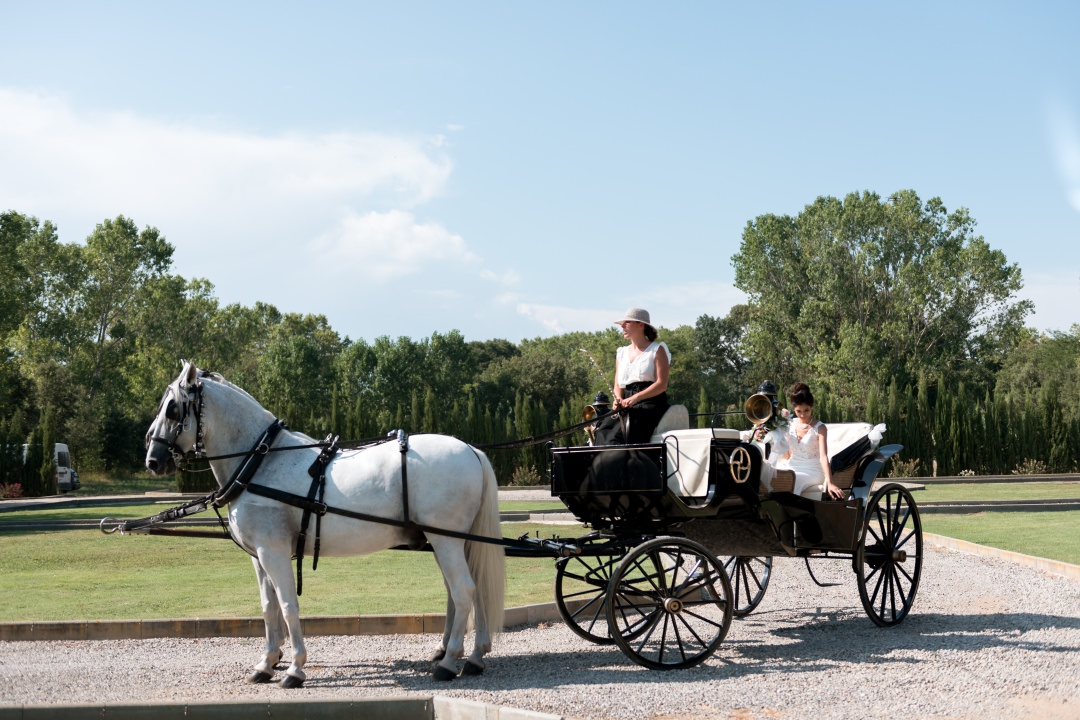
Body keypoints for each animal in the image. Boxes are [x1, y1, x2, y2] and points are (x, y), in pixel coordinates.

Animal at [142, 360, 505, 686]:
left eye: (172, 409)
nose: (152, 460)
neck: (261, 463)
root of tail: (470, 449)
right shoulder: (259, 556)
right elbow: (268, 607)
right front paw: (267, 663)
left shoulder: (273, 552)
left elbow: (288, 606)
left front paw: (294, 668)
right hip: (450, 541)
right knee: (468, 590)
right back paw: (473, 655)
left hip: (446, 539)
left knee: (464, 590)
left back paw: (449, 661)